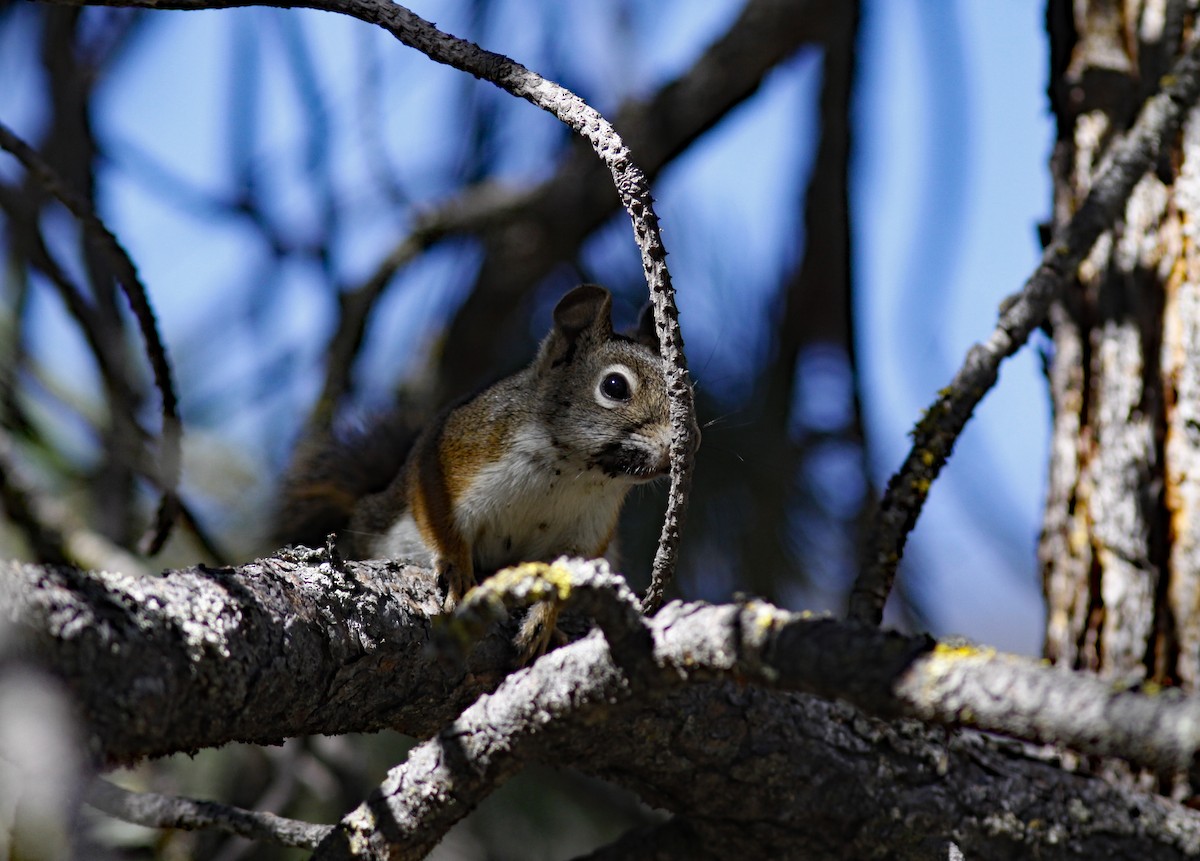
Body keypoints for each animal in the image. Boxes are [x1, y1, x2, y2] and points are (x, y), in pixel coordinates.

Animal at [274, 284, 676, 656]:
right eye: (614, 386)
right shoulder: (449, 462)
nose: (677, 447)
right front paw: (456, 572)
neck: (571, 474)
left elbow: (564, 577)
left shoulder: (589, 532)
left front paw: (544, 621)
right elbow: (441, 524)